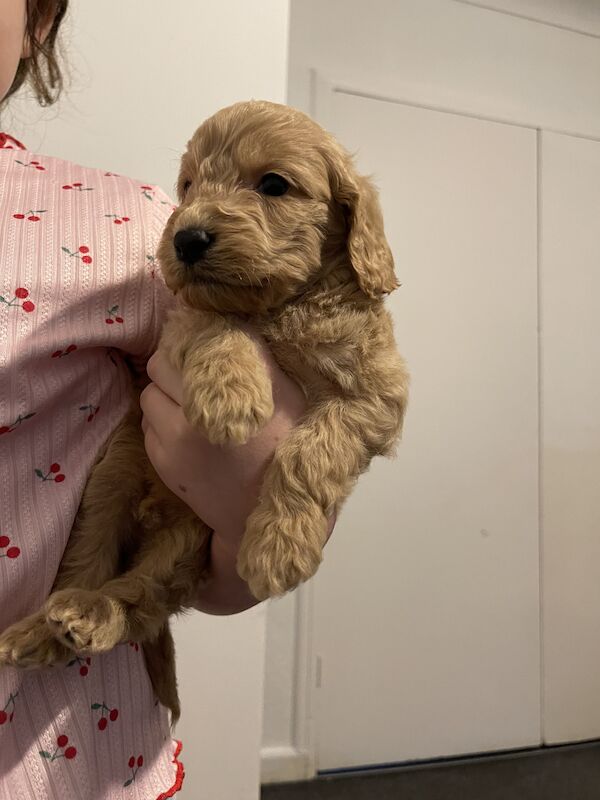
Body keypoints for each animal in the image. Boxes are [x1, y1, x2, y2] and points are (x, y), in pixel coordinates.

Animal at [0, 101, 408, 724]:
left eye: (273, 184)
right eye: (189, 185)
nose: (186, 238)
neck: (283, 307)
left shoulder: (376, 397)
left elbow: (313, 447)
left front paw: (278, 547)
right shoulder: (181, 324)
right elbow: (215, 320)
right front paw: (231, 395)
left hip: (183, 546)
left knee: (142, 600)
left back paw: (92, 616)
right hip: (108, 486)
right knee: (87, 565)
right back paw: (49, 626)